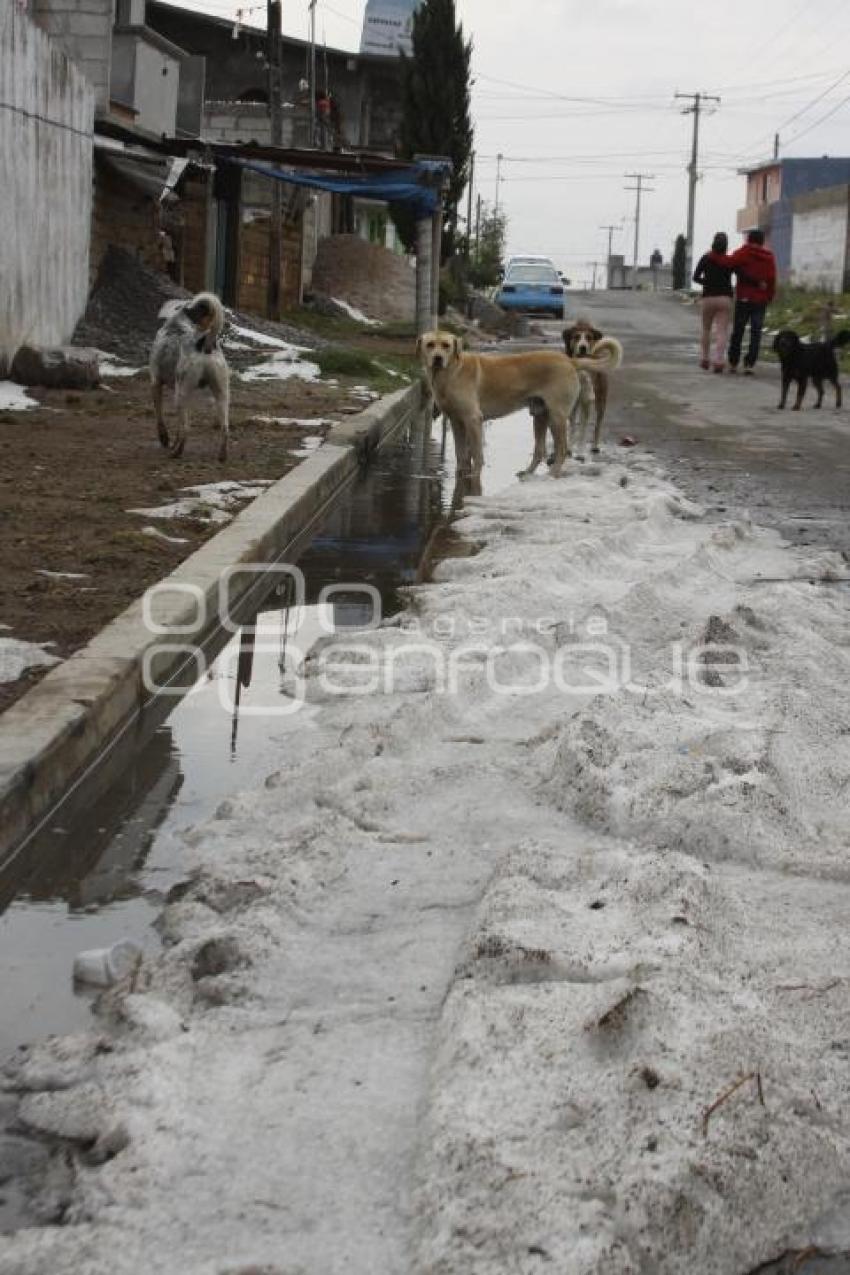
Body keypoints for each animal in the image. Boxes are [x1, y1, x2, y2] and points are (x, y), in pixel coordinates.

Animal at [420, 331, 624, 476]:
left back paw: (553, 473)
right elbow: (460, 453)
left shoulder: (473, 419)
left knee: (562, 449)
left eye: (446, 346)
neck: (450, 372)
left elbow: (477, 454)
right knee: (540, 450)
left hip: (556, 416)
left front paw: (474, 475)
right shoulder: (456, 422)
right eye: (430, 345)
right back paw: (528, 473)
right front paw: (460, 473)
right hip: (540, 415)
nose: (437, 358)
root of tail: (569, 360)